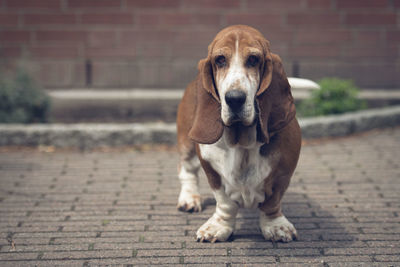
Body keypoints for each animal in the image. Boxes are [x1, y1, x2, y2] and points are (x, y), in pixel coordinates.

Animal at [175, 25, 300, 243]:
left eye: (253, 59)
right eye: (220, 60)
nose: (234, 99)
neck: (242, 142)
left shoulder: (284, 171)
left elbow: (273, 202)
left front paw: (276, 226)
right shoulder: (211, 169)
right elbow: (224, 202)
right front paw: (218, 227)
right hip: (187, 145)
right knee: (187, 170)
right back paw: (189, 199)